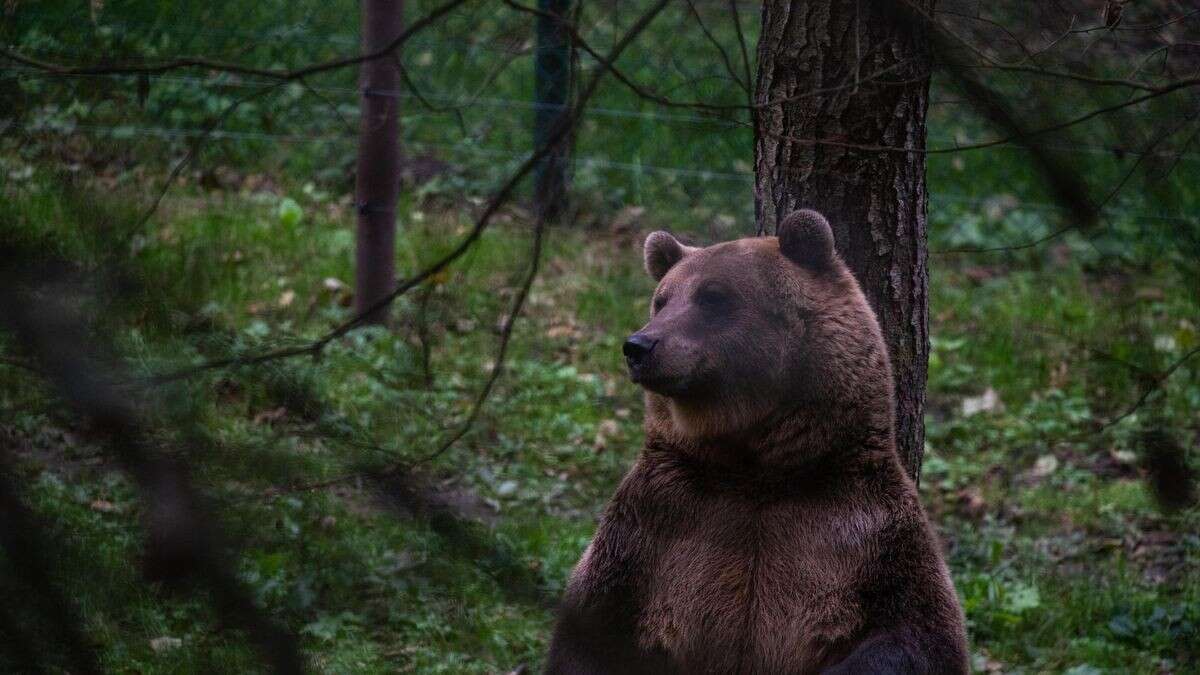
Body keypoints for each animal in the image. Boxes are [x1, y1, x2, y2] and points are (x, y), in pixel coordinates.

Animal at [549, 207, 969, 667]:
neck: (755, 469)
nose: (639, 345)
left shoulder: (868, 534)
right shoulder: (652, 528)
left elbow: (917, 631)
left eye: (712, 296)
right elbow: (592, 628)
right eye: (661, 300)